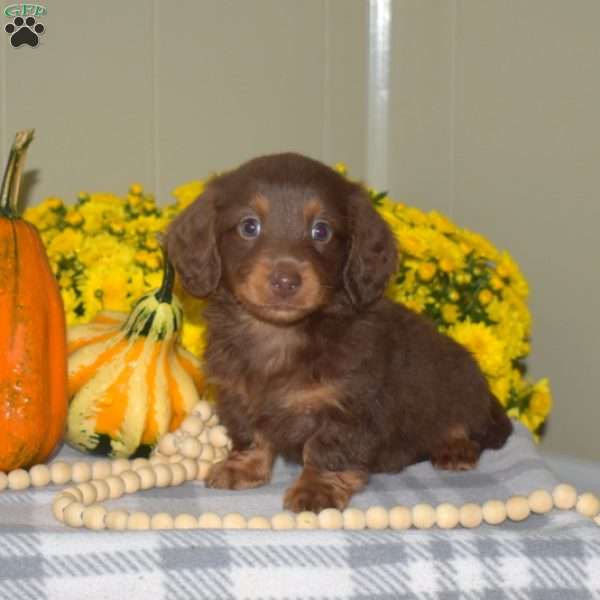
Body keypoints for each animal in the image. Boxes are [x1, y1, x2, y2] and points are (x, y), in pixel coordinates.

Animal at [164, 151, 510, 510]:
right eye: (249, 226)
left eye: (321, 230)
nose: (285, 281)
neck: (279, 336)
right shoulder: (238, 396)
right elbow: (250, 434)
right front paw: (243, 467)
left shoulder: (348, 405)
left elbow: (326, 449)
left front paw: (317, 488)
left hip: (458, 385)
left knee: (464, 424)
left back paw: (455, 446)